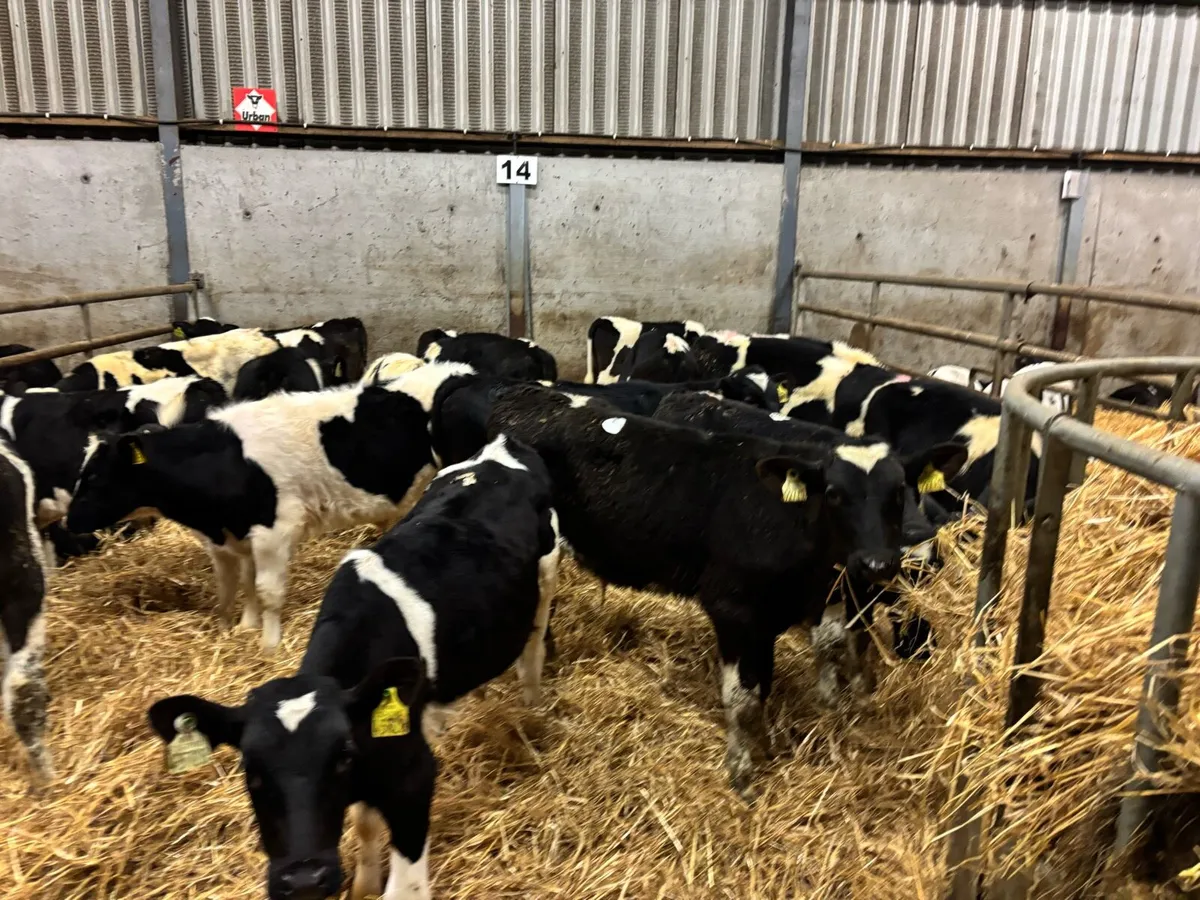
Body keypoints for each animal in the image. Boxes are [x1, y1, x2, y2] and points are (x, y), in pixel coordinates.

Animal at [67, 363, 477, 651]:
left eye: (96, 478)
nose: (70, 522)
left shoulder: (273, 531)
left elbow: (268, 591)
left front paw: (269, 644)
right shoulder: (232, 536)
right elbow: (238, 584)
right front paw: (240, 627)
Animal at [145, 434, 560, 900]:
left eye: (340, 757)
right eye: (250, 771)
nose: (303, 880)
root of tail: (501, 444)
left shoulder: (412, 777)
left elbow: (405, 886)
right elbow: (364, 823)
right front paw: (363, 884)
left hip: (546, 577)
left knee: (533, 649)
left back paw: (531, 708)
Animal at [487, 384, 965, 796]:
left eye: (899, 493)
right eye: (833, 493)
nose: (876, 563)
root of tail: (521, 392)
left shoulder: (783, 614)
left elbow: (767, 685)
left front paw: (767, 745)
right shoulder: (733, 611)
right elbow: (742, 697)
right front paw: (742, 774)